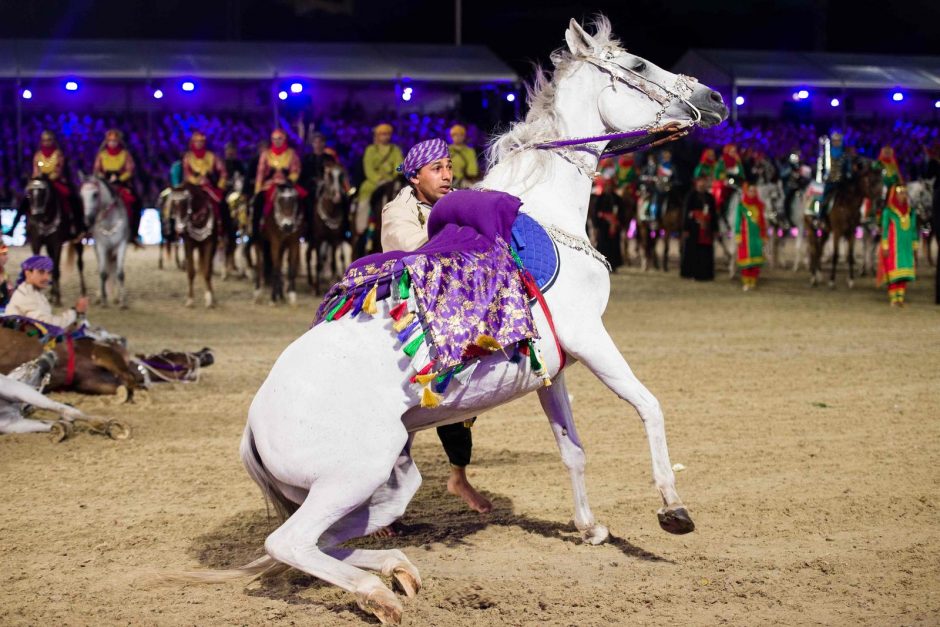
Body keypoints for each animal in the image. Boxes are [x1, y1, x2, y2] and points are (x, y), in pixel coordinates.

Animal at [178, 17, 736, 624]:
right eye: (635, 65)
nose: (715, 99)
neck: (543, 214)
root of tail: (253, 428)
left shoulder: (554, 368)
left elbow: (573, 449)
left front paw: (590, 528)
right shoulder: (591, 338)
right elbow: (649, 406)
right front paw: (674, 510)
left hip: (388, 483)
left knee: (324, 542)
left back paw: (397, 569)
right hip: (355, 475)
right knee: (290, 543)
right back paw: (379, 592)